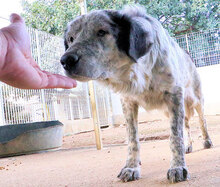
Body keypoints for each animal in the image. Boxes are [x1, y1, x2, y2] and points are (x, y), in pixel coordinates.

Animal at [60, 5, 213, 183]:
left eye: (102, 32)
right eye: (70, 39)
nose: (66, 61)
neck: (137, 71)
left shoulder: (174, 95)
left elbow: (175, 136)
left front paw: (177, 167)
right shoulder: (128, 102)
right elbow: (132, 139)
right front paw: (131, 167)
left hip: (195, 100)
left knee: (202, 121)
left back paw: (207, 141)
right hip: (169, 111)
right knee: (186, 124)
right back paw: (189, 145)